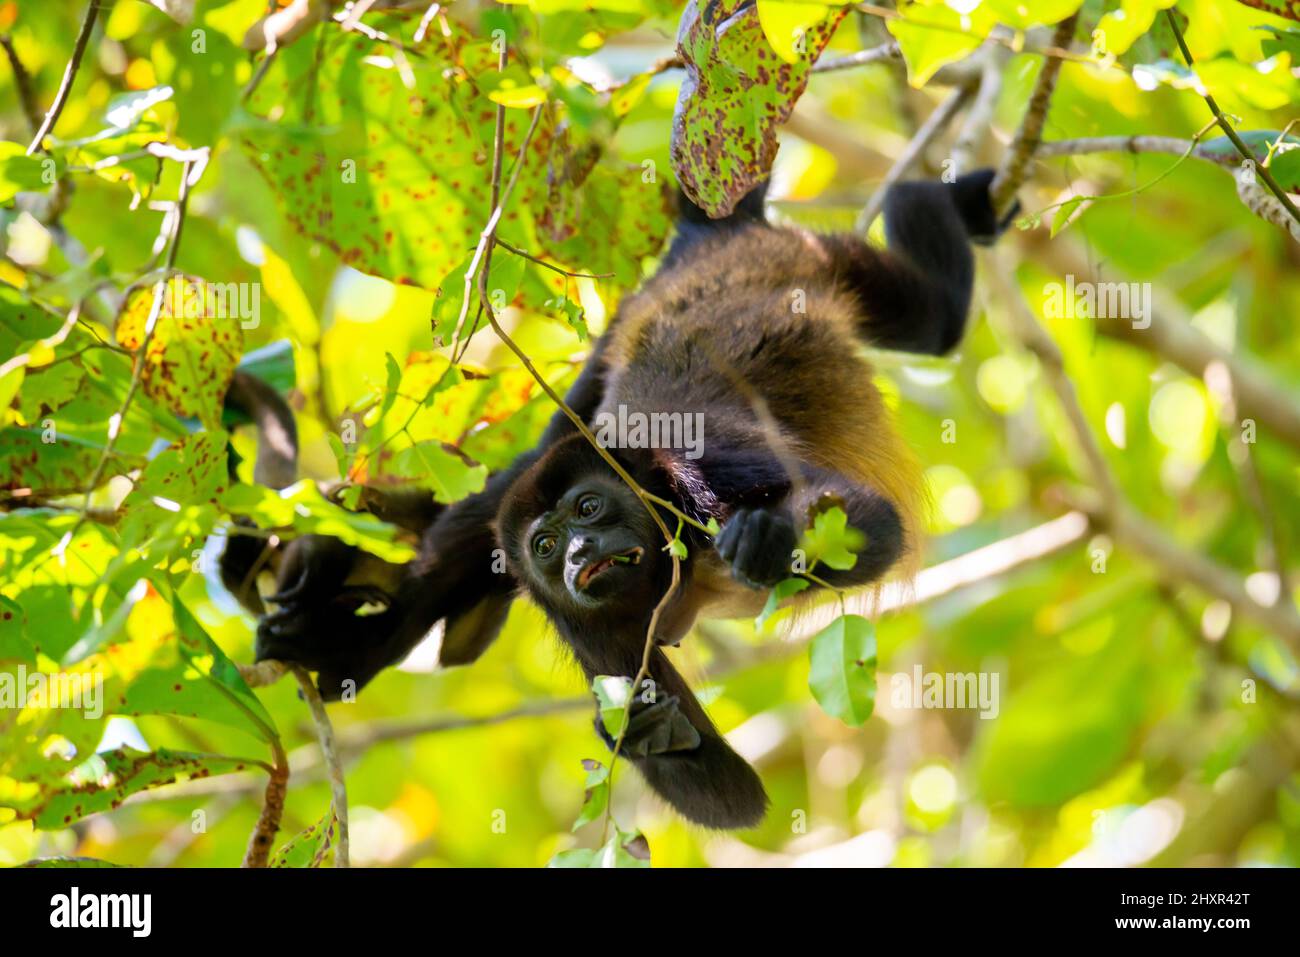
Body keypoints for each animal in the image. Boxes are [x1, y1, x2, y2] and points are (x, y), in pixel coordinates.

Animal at [222, 169, 1016, 828]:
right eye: (546, 546)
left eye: (589, 510)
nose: (577, 553)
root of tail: (709, 241)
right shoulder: (584, 621)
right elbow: (735, 798)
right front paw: (632, 729)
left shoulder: (704, 464)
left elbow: (867, 518)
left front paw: (768, 541)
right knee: (469, 530)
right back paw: (339, 638)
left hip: (809, 256)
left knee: (936, 319)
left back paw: (937, 193)